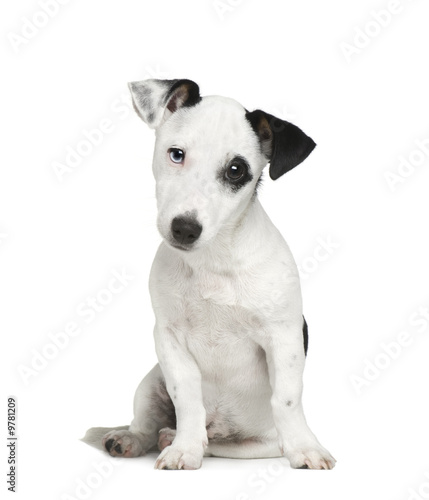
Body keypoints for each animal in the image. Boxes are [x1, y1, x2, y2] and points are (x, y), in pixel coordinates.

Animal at [80, 77, 334, 468]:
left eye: (236, 170)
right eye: (176, 154)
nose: (184, 228)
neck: (212, 261)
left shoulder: (284, 337)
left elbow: (287, 399)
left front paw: (305, 448)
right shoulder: (168, 339)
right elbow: (186, 395)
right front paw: (184, 449)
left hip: (254, 447)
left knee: (215, 443)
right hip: (150, 382)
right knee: (150, 425)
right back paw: (137, 438)